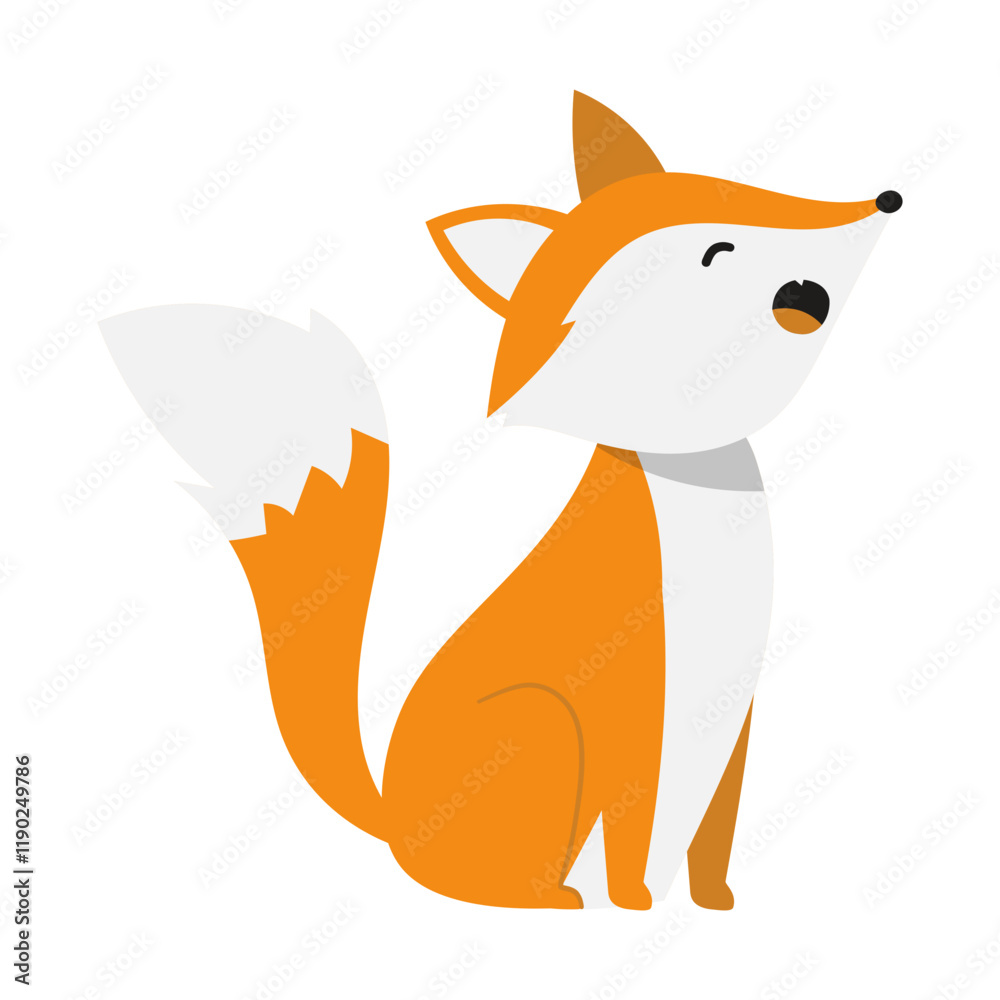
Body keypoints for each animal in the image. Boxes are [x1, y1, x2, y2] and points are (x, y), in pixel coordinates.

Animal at [100, 92, 901, 911]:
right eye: (717, 252)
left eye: (752, 196)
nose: (884, 200)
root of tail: (392, 820)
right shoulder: (628, 708)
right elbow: (634, 829)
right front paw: (636, 905)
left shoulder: (732, 713)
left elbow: (717, 831)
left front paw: (713, 904)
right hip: (539, 723)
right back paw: (553, 898)